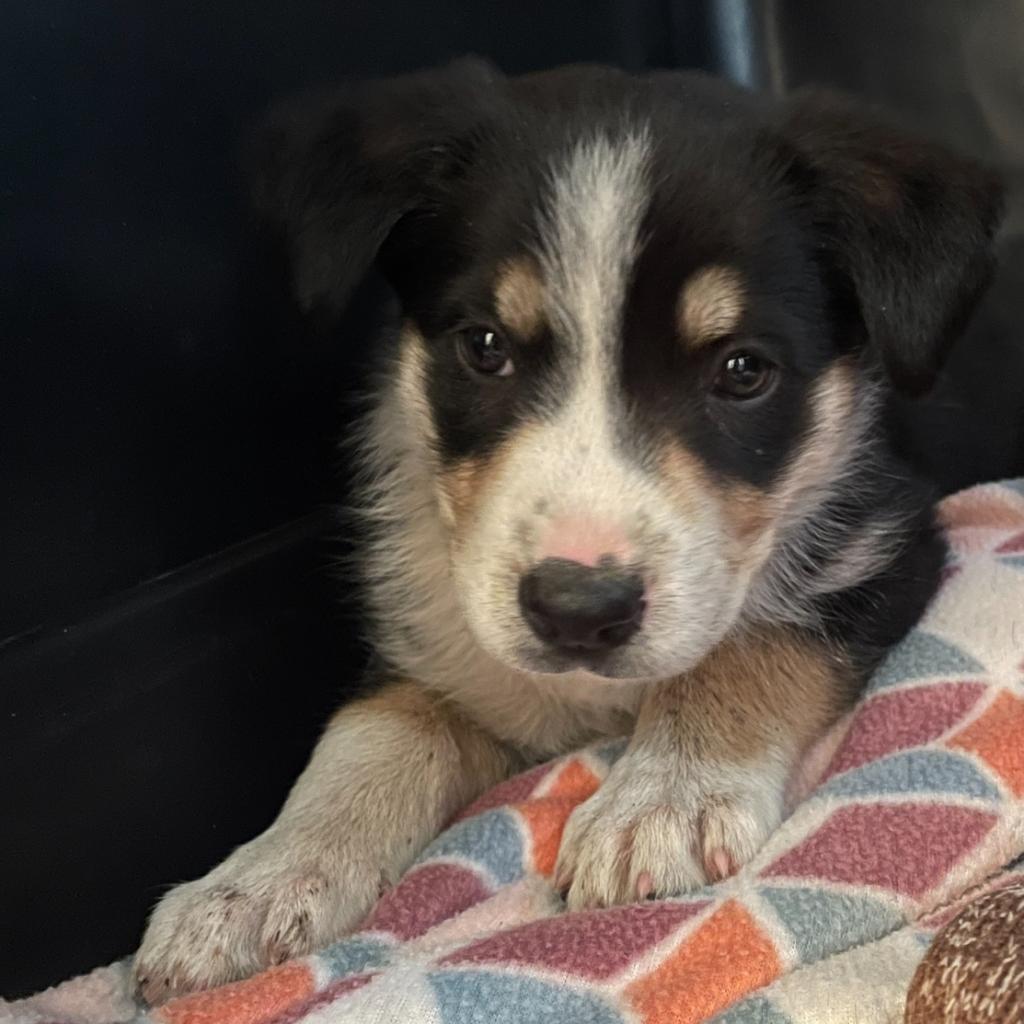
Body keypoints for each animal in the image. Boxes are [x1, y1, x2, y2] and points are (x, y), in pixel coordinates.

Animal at [134, 58, 999, 999]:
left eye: (744, 370)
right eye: (483, 346)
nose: (579, 610)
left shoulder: (887, 538)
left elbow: (750, 648)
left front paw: (660, 802)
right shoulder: (444, 647)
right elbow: (369, 736)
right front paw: (254, 883)